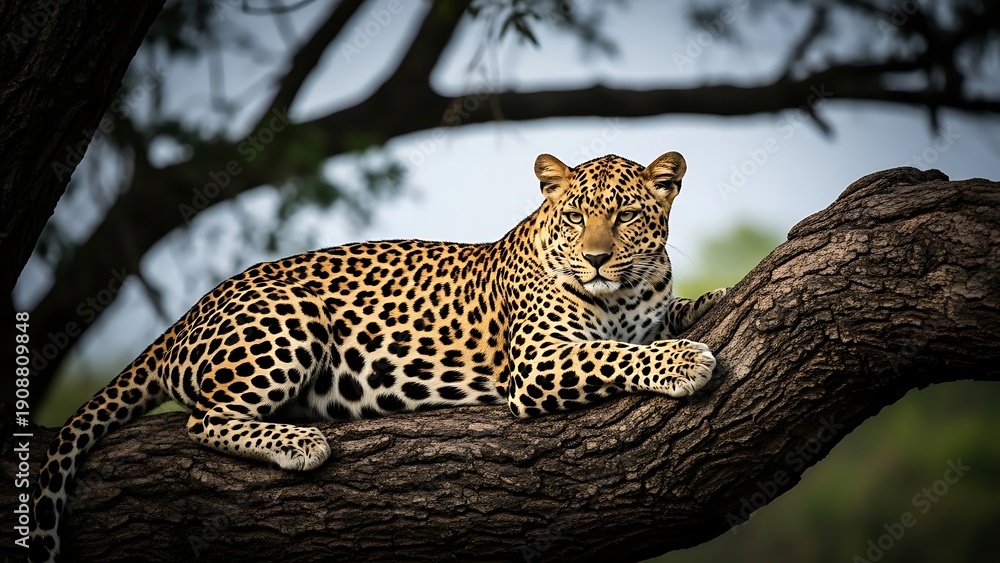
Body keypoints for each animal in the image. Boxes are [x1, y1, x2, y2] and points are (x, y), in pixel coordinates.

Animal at [30, 151, 727, 562]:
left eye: (627, 215)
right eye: (577, 218)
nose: (597, 258)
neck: (624, 293)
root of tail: (185, 317)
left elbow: (665, 317)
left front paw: (711, 299)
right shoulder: (538, 361)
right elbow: (614, 355)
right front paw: (683, 361)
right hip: (291, 315)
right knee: (202, 418)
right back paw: (297, 443)